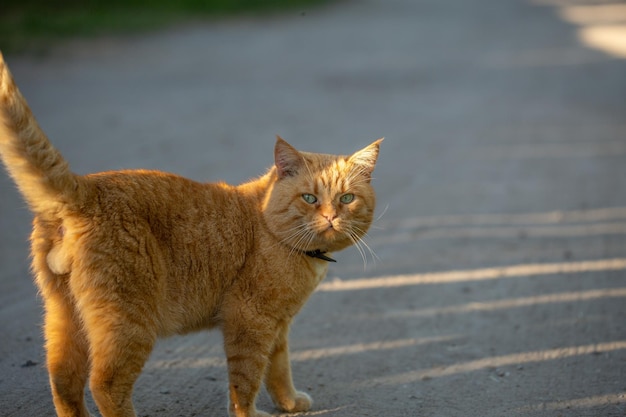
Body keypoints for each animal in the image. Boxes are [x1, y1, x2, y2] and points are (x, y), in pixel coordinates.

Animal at [0, 52, 380, 416]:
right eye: (310, 198)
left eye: (347, 198)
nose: (331, 216)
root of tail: (85, 188)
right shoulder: (250, 320)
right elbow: (246, 380)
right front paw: (251, 413)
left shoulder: (278, 326)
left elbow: (278, 368)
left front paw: (288, 402)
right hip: (128, 322)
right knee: (105, 384)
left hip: (66, 317)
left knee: (63, 380)